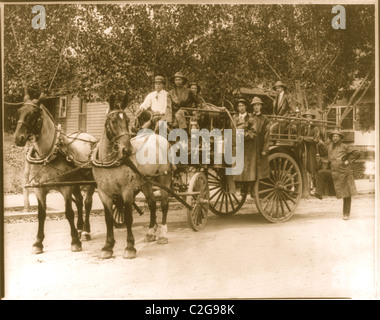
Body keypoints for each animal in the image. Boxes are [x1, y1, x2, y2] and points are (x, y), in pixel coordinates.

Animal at [14, 91, 98, 254]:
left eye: (34, 113)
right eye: (19, 111)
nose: (17, 138)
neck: (49, 154)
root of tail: (90, 137)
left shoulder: (66, 188)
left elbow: (69, 213)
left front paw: (74, 241)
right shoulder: (39, 189)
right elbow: (41, 215)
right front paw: (38, 243)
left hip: (89, 183)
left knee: (87, 203)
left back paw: (85, 231)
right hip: (76, 183)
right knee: (79, 201)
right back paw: (79, 229)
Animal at [91, 95, 170, 260]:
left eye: (127, 120)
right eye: (113, 121)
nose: (127, 150)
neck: (108, 161)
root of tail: (158, 137)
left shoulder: (126, 190)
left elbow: (128, 216)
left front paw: (130, 247)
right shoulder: (103, 192)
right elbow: (108, 218)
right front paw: (107, 247)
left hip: (164, 178)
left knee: (164, 204)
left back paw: (163, 234)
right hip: (145, 181)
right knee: (152, 203)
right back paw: (150, 232)